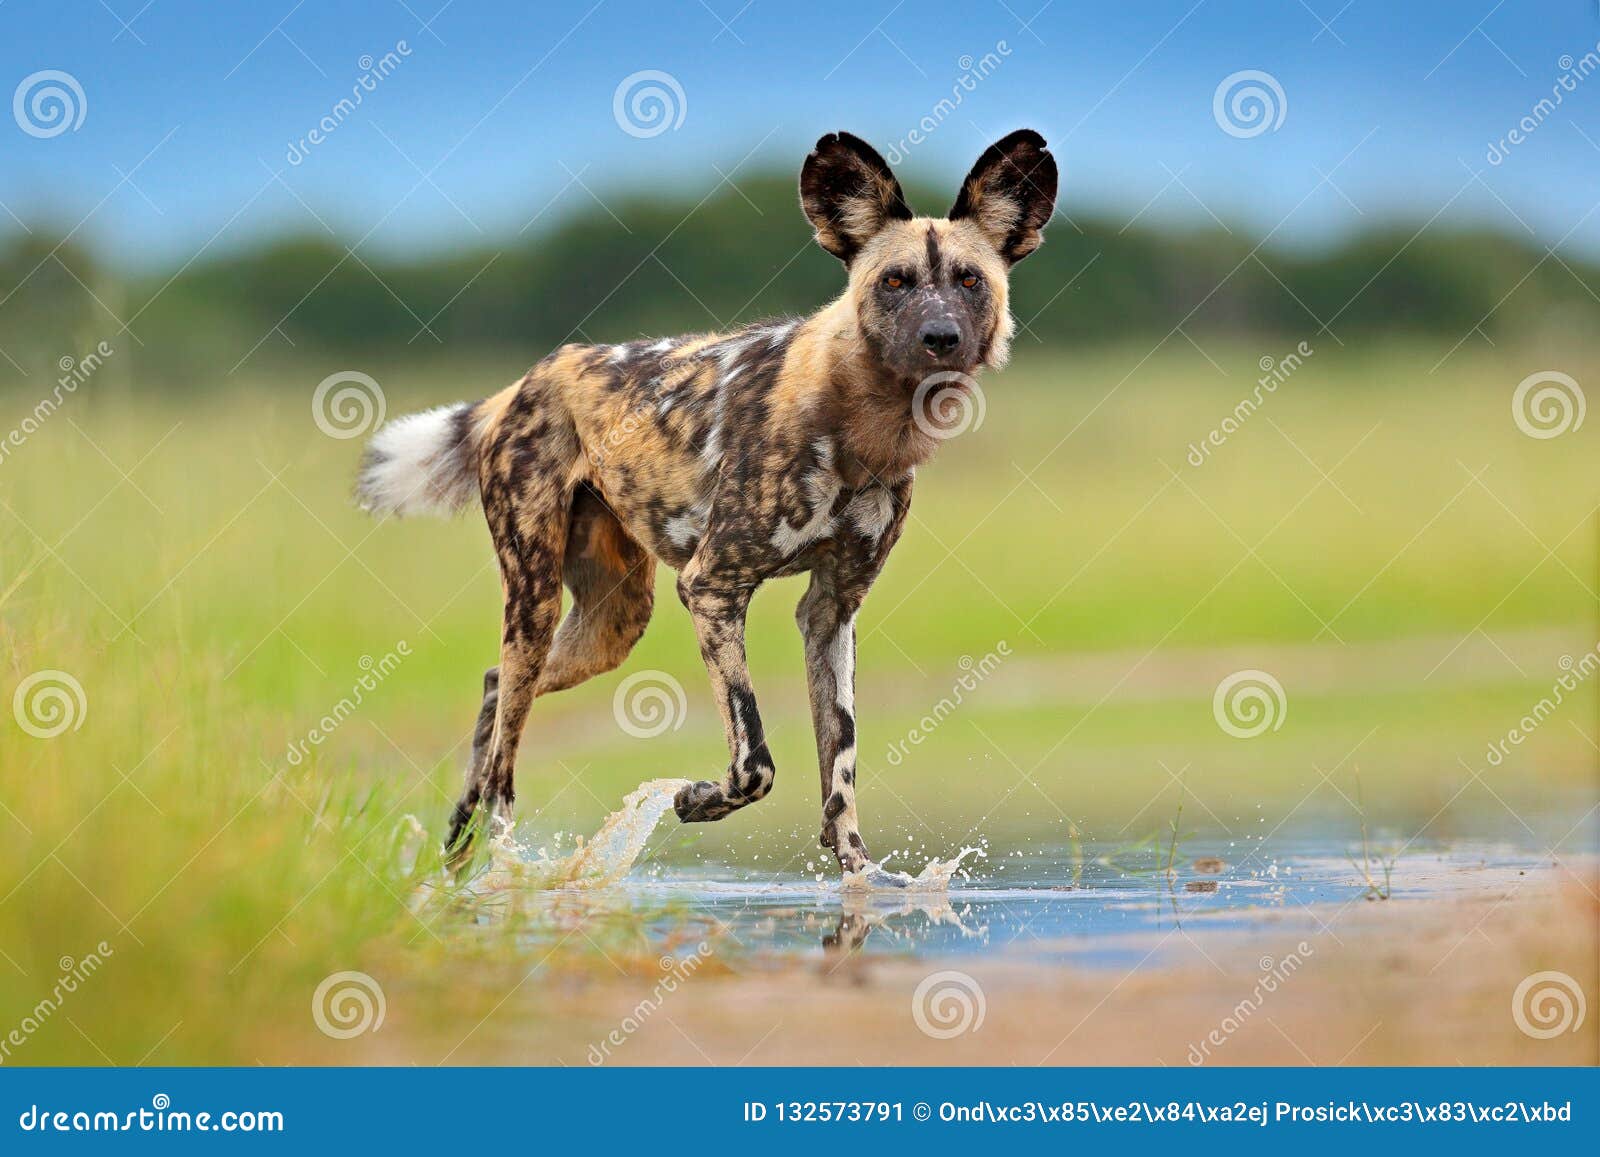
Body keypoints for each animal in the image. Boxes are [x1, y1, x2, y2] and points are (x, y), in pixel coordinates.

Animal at [364, 128, 1062, 876]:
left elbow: (840, 767)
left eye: (970, 280)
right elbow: (756, 761)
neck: (862, 421)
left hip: (612, 623)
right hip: (537, 599)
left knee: (496, 692)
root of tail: (526, 381)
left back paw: (459, 847)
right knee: (505, 756)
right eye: (894, 282)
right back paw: (501, 866)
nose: (940, 338)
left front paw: (860, 876)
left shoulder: (831, 610)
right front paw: (696, 800)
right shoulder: (712, 588)